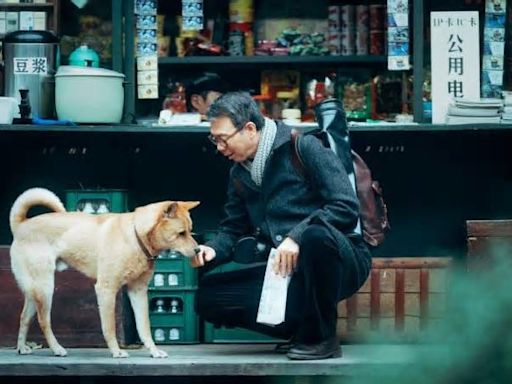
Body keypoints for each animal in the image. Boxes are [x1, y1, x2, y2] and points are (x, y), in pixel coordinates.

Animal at [9, 188, 200, 358]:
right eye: (181, 233)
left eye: (190, 230)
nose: (198, 250)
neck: (135, 236)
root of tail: (21, 225)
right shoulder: (106, 289)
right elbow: (109, 327)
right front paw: (116, 351)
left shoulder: (138, 291)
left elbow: (144, 327)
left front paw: (154, 351)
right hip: (46, 288)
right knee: (44, 321)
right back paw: (57, 349)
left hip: (34, 291)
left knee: (23, 317)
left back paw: (22, 348)